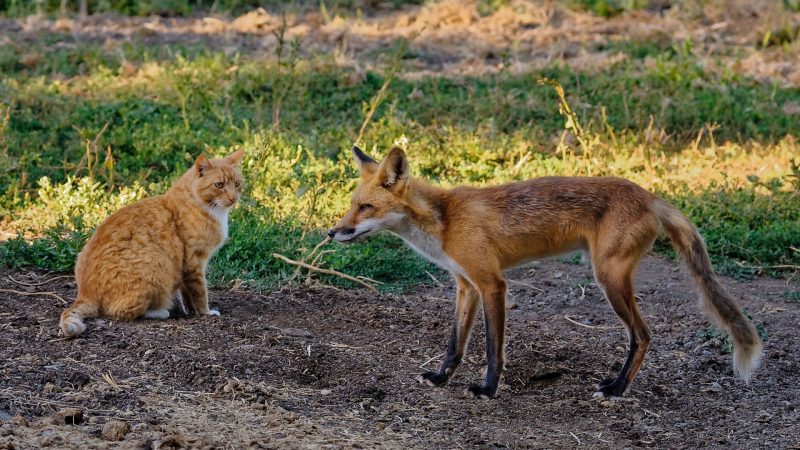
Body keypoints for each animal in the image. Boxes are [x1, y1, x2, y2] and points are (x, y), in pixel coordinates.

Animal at [59, 149, 244, 336]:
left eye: (237, 184)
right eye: (219, 185)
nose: (233, 198)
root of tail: (85, 293)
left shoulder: (186, 268)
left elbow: (187, 294)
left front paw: (191, 311)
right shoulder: (195, 262)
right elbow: (200, 292)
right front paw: (206, 312)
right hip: (155, 265)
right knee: (120, 312)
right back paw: (162, 311)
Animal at [330, 146, 764, 400]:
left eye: (366, 208)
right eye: (352, 205)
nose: (332, 232)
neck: (445, 222)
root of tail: (652, 196)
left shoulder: (492, 284)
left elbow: (493, 348)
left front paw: (488, 389)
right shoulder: (465, 286)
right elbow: (455, 344)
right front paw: (440, 379)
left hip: (608, 280)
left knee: (642, 335)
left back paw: (617, 388)